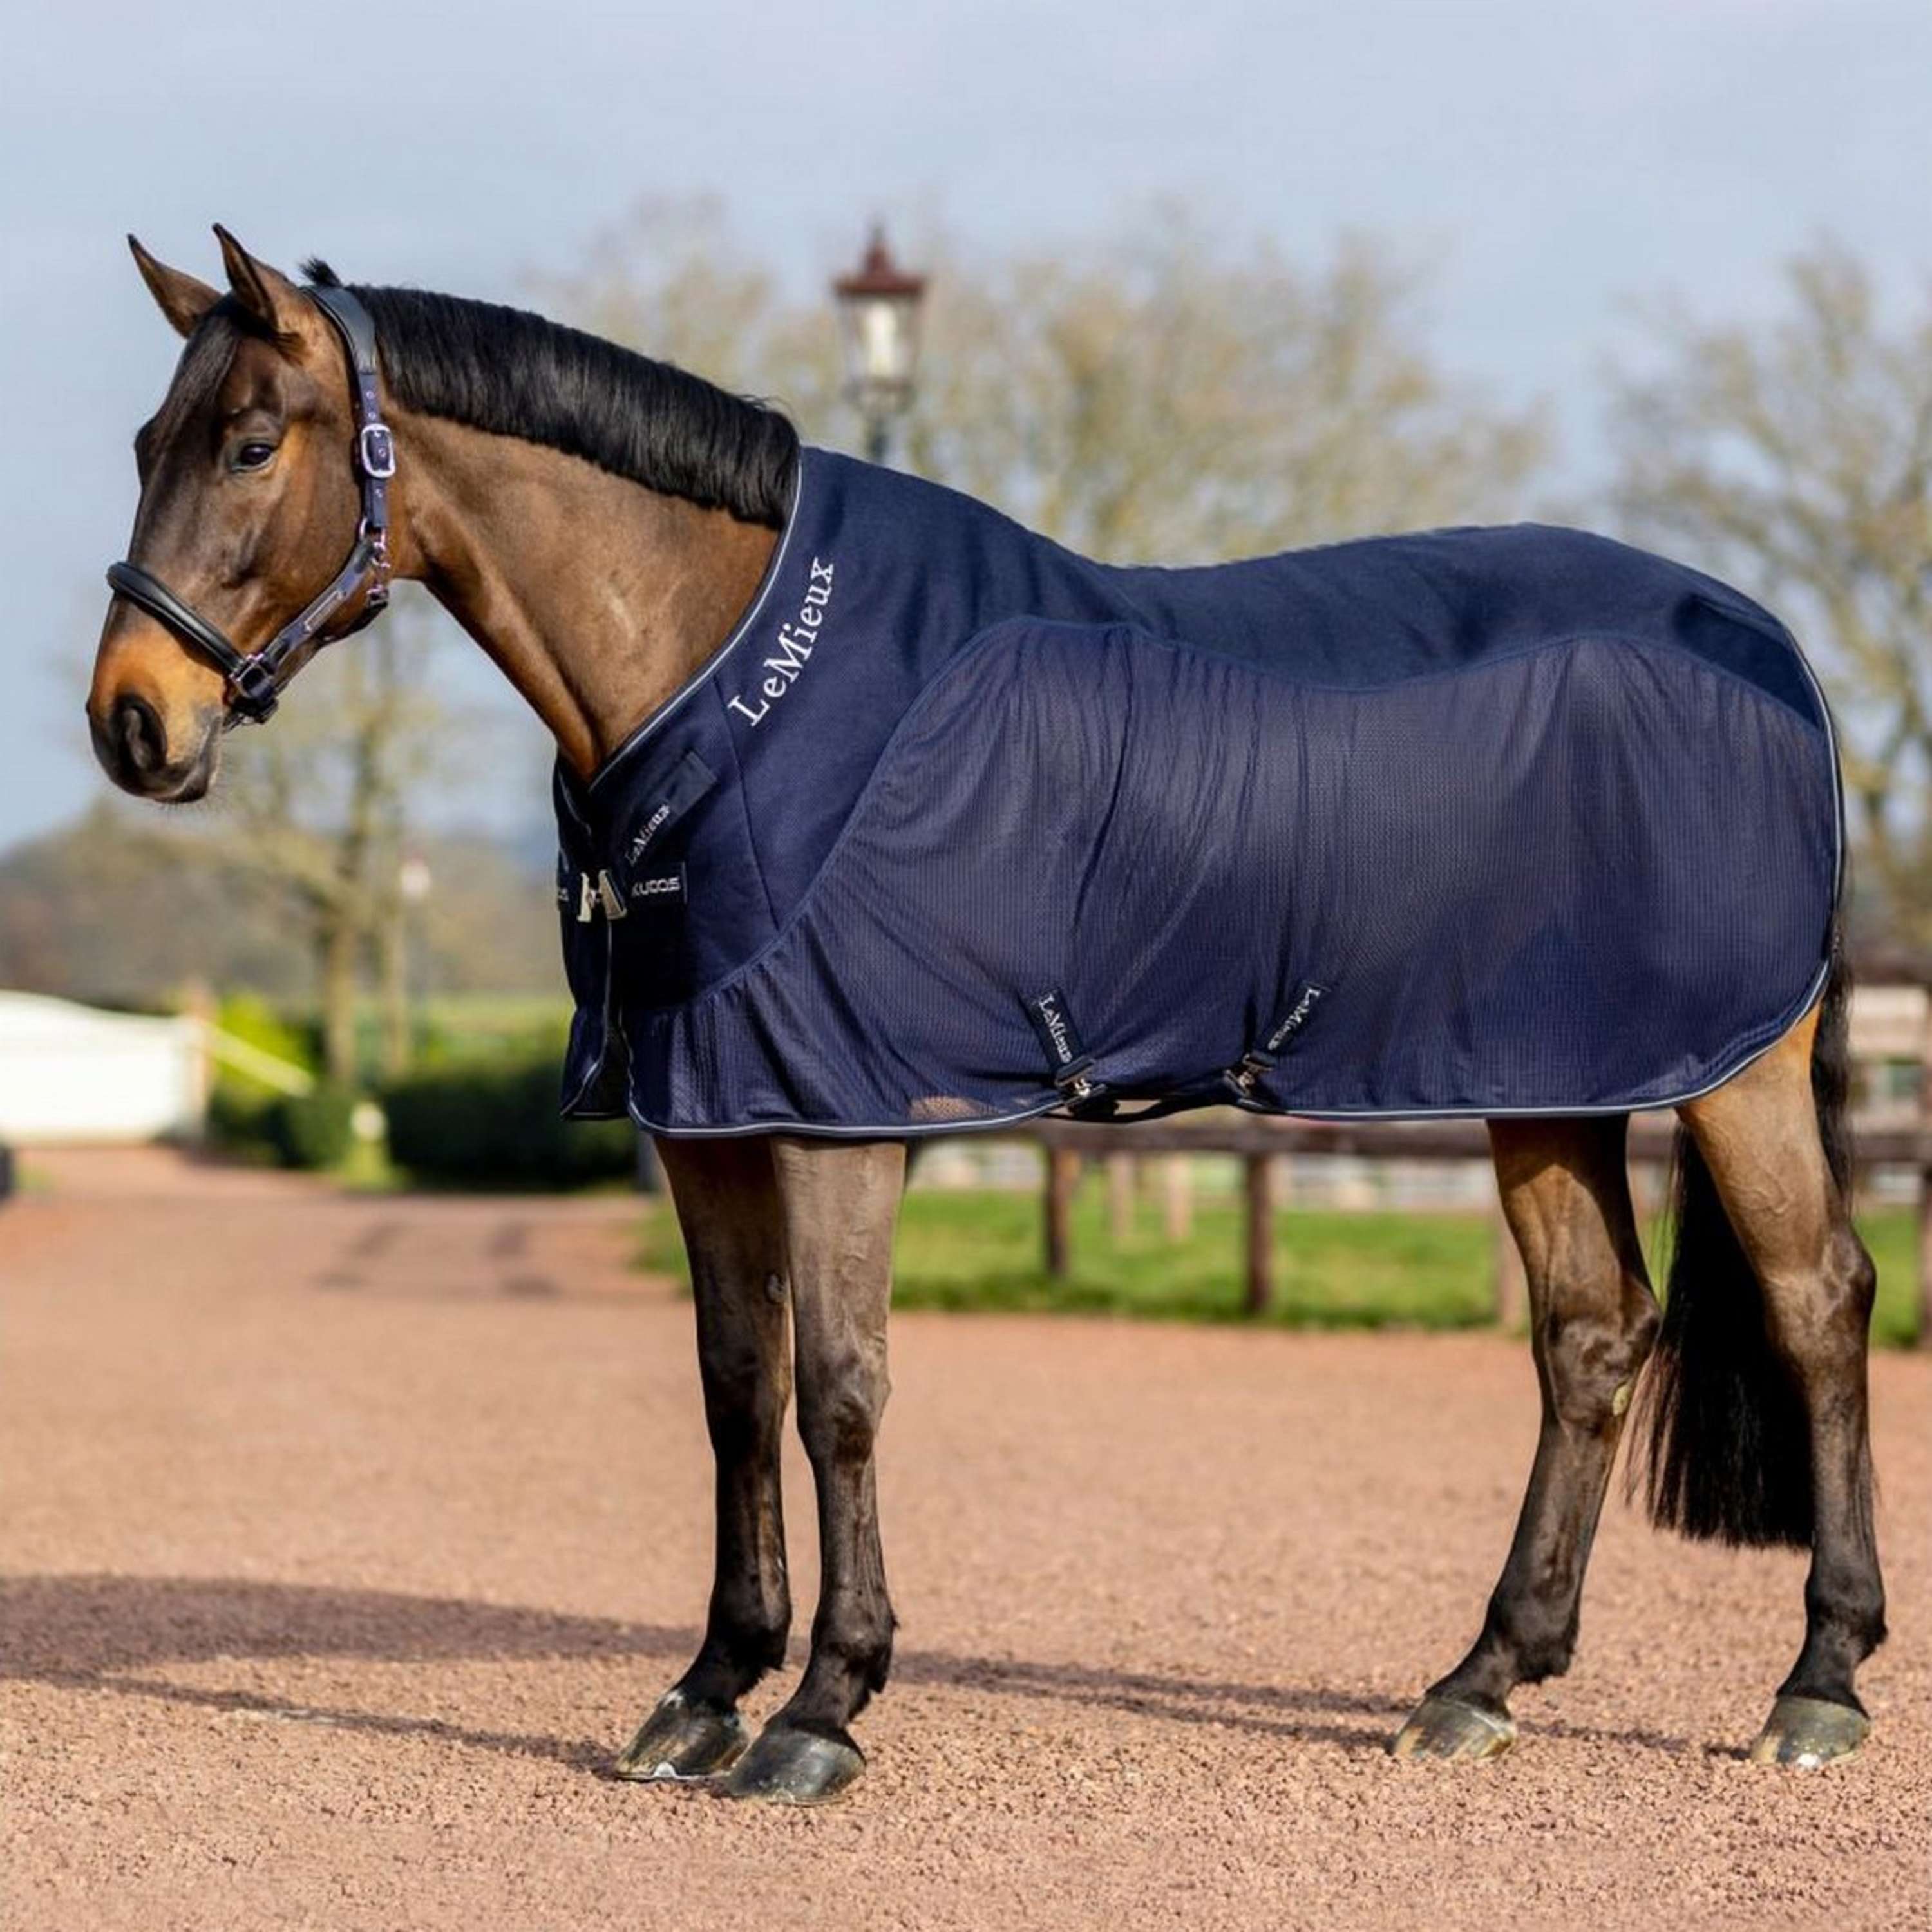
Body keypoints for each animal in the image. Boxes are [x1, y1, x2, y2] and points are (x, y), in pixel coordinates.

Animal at [88, 229, 1885, 1804]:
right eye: (145, 438)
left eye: (248, 443)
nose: (132, 723)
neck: (729, 672)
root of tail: (1771, 652)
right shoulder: (707, 1109)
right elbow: (734, 1383)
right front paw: (709, 1688)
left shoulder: (837, 1108)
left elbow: (837, 1389)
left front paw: (822, 1707)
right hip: (1546, 1079)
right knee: (1590, 1332)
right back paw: (1481, 1682)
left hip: (1730, 1074)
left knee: (1818, 1299)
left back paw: (1817, 1683)